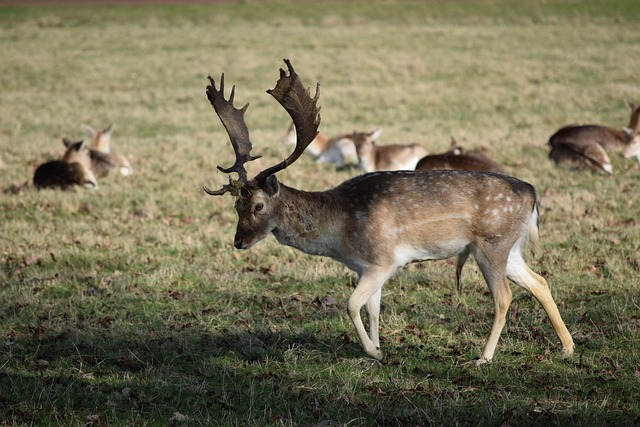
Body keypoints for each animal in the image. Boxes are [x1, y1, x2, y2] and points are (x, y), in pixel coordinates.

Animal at [203, 59, 574, 365]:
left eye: (258, 205)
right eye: (236, 205)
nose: (239, 241)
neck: (340, 231)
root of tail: (532, 192)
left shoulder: (385, 260)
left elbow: (352, 305)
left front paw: (374, 352)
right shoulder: (365, 267)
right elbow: (373, 309)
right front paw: (379, 348)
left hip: (491, 244)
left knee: (504, 297)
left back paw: (484, 358)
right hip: (509, 247)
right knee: (540, 281)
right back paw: (568, 347)